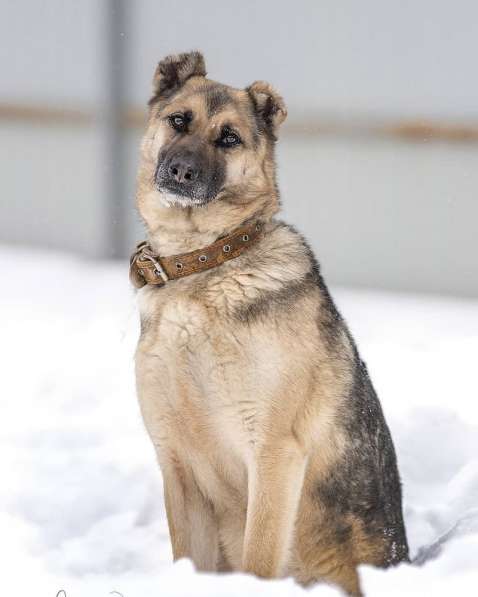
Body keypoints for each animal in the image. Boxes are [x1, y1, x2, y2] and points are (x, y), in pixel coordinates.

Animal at [131, 52, 408, 596]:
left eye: (229, 138)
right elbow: (185, 557)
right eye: (179, 121)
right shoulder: (177, 464)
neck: (203, 266)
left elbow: (259, 557)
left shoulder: (274, 452)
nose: (181, 170)